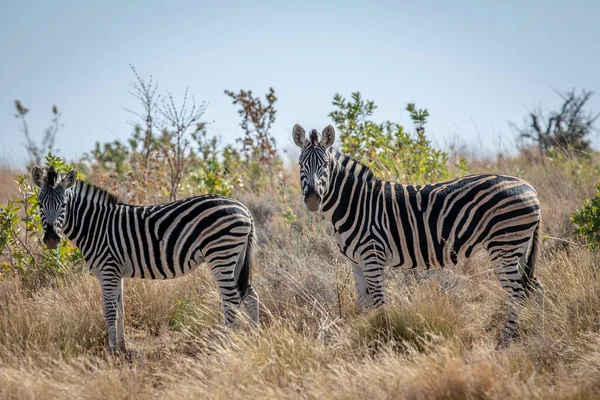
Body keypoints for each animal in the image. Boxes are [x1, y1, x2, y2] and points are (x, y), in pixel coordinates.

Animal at [31, 166, 258, 354]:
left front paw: (111, 352)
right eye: (40, 204)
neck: (95, 226)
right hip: (235, 257)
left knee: (232, 299)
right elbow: (120, 311)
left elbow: (110, 312)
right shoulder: (116, 273)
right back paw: (256, 335)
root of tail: (244, 208)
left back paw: (223, 342)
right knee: (250, 294)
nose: (51, 239)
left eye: (63, 205)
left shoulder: (108, 271)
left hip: (220, 254)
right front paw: (122, 349)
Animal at [292, 123, 544, 346]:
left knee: (517, 294)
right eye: (300, 164)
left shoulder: (373, 258)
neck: (355, 204)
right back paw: (539, 333)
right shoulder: (356, 263)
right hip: (518, 248)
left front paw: (383, 339)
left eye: (325, 164)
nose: (313, 199)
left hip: (505, 246)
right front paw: (365, 335)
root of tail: (530, 188)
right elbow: (364, 305)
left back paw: (506, 341)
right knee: (534, 289)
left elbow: (379, 303)